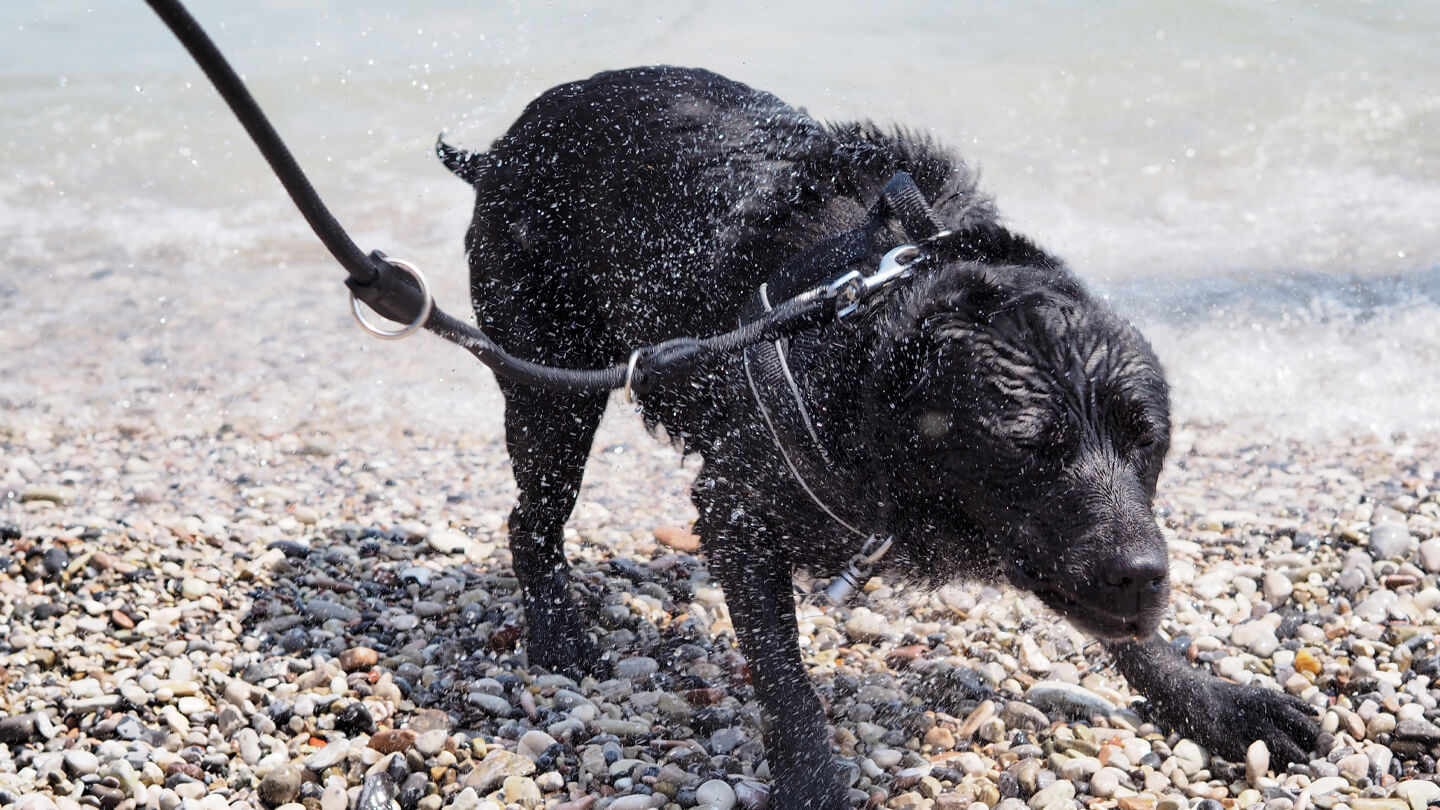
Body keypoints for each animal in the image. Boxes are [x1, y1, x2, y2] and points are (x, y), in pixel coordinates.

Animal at [437, 66, 1319, 801]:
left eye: (1148, 443)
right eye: (1028, 447)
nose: (1143, 573)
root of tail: (503, 147)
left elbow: (1131, 635)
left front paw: (1213, 702)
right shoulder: (736, 505)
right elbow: (784, 676)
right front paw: (812, 778)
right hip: (550, 387)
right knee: (530, 515)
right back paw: (555, 628)